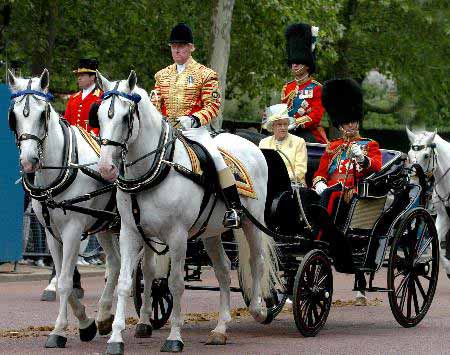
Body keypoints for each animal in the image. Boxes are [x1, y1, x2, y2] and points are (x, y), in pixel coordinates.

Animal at [8, 71, 121, 350]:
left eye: (43, 114)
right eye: (13, 115)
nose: (29, 161)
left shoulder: (72, 231)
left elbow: (66, 282)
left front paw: (58, 331)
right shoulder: (52, 233)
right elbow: (61, 279)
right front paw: (86, 324)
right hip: (104, 226)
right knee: (115, 263)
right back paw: (104, 316)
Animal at [96, 71, 282, 354]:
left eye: (126, 117)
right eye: (98, 115)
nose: (106, 168)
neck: (156, 169)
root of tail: (251, 145)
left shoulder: (177, 236)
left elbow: (175, 283)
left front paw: (174, 337)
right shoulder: (130, 233)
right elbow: (126, 283)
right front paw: (116, 338)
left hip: (252, 222)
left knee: (256, 261)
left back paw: (259, 308)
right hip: (211, 232)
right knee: (223, 270)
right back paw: (220, 329)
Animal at [406, 127, 450, 278]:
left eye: (426, 155)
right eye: (409, 154)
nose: (413, 182)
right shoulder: (443, 217)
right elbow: (433, 245)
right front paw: (449, 268)